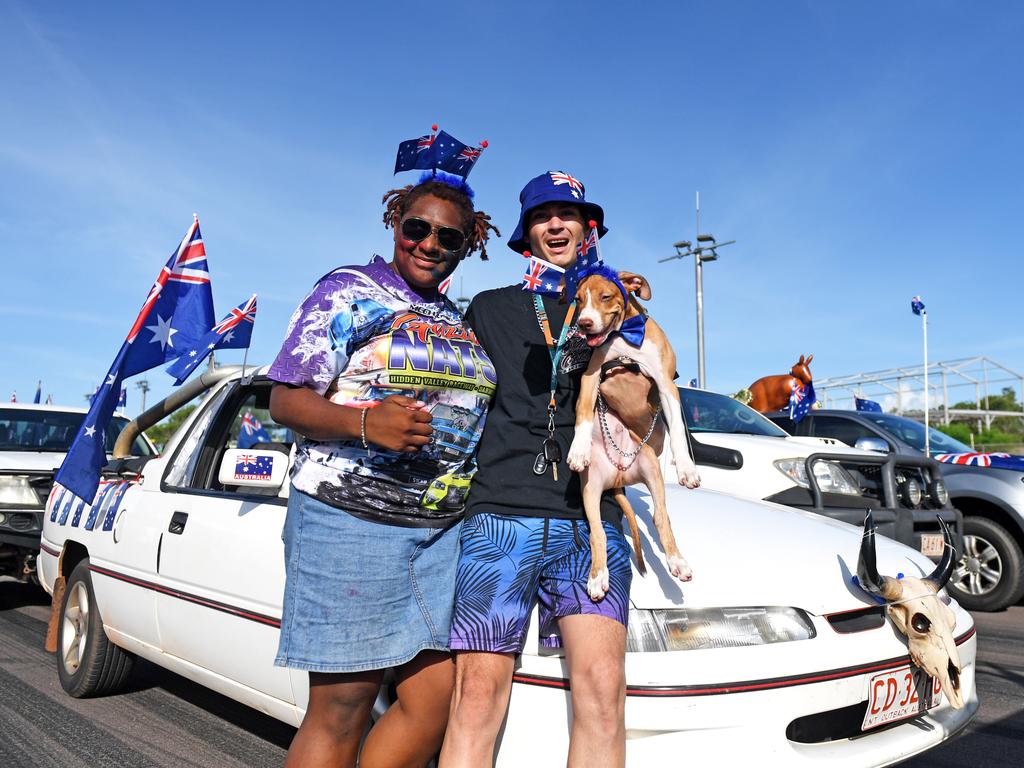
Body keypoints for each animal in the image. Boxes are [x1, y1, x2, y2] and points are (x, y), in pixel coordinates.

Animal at [565, 268, 700, 606]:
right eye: (578, 299)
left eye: (606, 297)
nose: (584, 324)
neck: (625, 339)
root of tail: (620, 477)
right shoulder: (591, 378)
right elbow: (583, 414)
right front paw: (578, 450)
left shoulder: (666, 384)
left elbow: (678, 431)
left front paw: (687, 468)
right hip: (590, 489)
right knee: (597, 532)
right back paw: (598, 578)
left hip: (650, 467)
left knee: (661, 519)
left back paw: (677, 563)